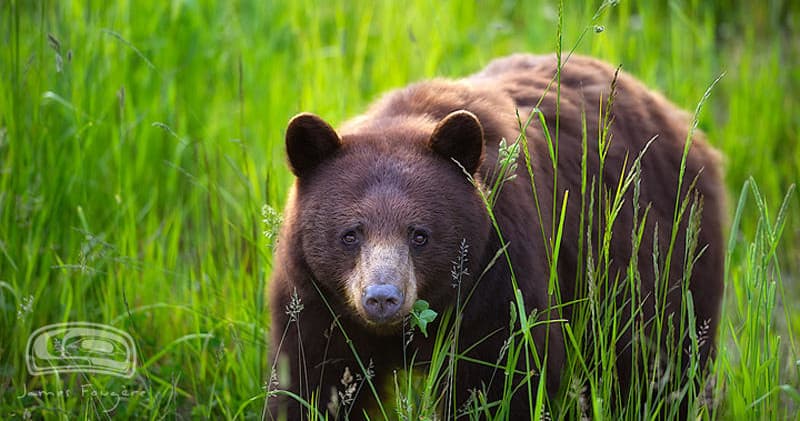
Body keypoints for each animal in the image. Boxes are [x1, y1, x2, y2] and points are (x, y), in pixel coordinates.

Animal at [267, 53, 725, 419]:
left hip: (665, 257)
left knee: (665, 362)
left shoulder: (497, 276)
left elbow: (499, 377)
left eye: (419, 235)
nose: (382, 297)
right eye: (350, 234)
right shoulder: (317, 301)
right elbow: (312, 380)